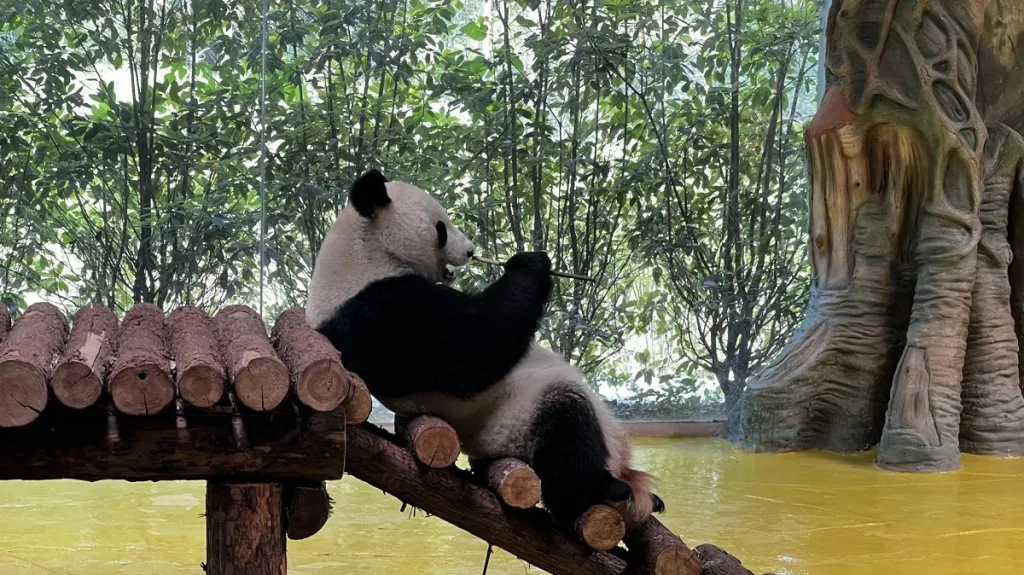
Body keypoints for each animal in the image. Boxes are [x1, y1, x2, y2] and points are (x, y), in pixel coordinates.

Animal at [306, 168, 664, 531]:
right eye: (441, 227)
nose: (469, 251)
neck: (362, 254)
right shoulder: (380, 313)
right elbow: (472, 349)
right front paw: (530, 264)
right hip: (516, 421)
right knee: (566, 431)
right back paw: (599, 492)